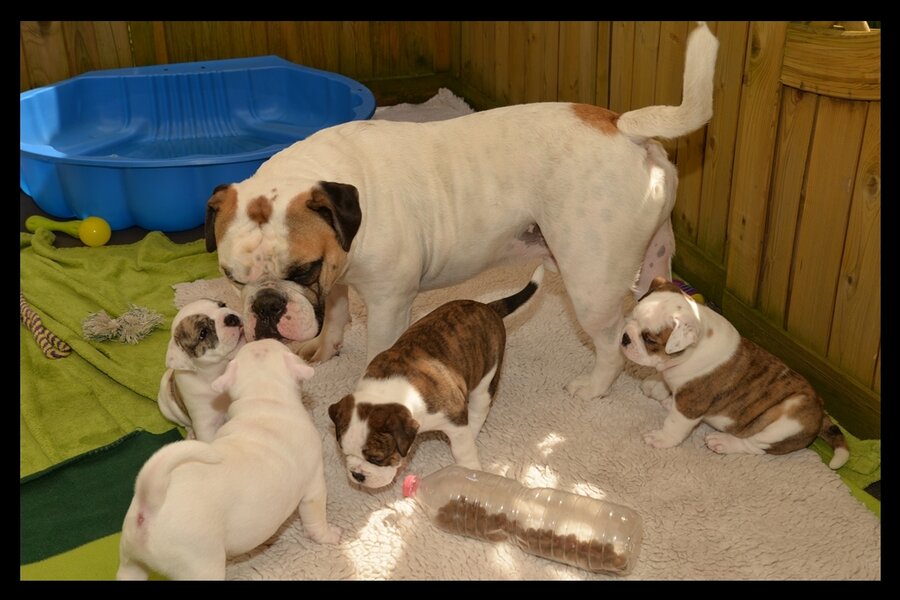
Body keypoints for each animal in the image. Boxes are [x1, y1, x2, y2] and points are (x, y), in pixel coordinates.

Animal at [117, 339, 340, 580]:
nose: (259, 337)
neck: (263, 399)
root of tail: (150, 506)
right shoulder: (314, 486)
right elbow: (315, 519)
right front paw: (329, 535)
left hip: (130, 562)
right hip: (202, 566)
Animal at [157, 299, 245, 442]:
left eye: (222, 305)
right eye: (203, 333)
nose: (231, 318)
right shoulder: (206, 427)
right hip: (167, 409)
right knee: (185, 424)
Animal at [205, 22, 719, 402]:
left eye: (303, 270)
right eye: (232, 278)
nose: (266, 306)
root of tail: (623, 126)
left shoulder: (388, 303)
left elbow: (376, 350)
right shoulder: (337, 279)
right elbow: (333, 313)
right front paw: (324, 346)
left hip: (590, 283)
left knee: (612, 342)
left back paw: (594, 387)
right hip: (653, 257)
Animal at [328, 265, 543, 489]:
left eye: (377, 459)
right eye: (343, 452)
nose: (357, 475)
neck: (390, 391)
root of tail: (488, 307)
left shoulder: (454, 419)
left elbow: (463, 449)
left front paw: (471, 471)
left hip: (487, 377)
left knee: (480, 407)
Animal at [620, 277, 850, 469]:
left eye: (649, 339)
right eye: (632, 316)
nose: (625, 337)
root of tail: (820, 411)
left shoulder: (692, 401)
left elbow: (675, 424)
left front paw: (661, 439)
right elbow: (665, 380)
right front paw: (655, 384)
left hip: (786, 421)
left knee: (755, 445)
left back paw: (723, 442)